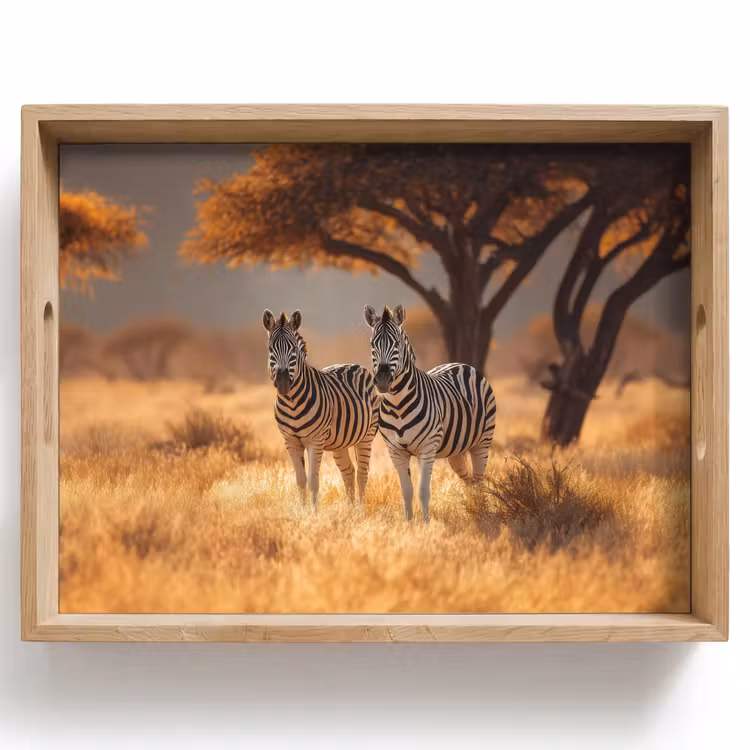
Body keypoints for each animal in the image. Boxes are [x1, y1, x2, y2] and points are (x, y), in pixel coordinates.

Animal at [263, 309, 379, 509]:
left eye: (293, 349)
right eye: (271, 349)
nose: (284, 383)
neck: (292, 403)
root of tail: (355, 365)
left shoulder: (315, 441)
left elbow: (313, 481)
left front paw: (314, 513)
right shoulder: (290, 441)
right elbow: (300, 480)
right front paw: (302, 512)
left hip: (367, 435)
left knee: (362, 475)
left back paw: (360, 510)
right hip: (340, 442)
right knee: (348, 472)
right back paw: (349, 511)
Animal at [363, 304, 496, 522]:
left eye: (397, 344)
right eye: (373, 344)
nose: (382, 381)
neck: (398, 406)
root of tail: (461, 364)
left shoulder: (427, 448)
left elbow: (423, 491)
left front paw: (426, 524)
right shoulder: (396, 451)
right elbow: (407, 491)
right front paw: (409, 523)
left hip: (482, 442)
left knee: (478, 480)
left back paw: (482, 513)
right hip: (456, 450)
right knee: (468, 479)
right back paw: (473, 509)